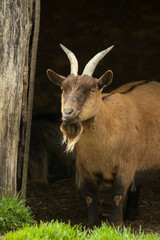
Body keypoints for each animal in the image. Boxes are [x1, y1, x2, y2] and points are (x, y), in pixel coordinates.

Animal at [46, 44, 160, 227]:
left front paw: (116, 225)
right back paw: (130, 214)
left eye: (92, 89)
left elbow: (118, 195)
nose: (68, 114)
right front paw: (90, 225)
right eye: (63, 89)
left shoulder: (126, 165)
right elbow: (90, 197)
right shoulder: (84, 168)